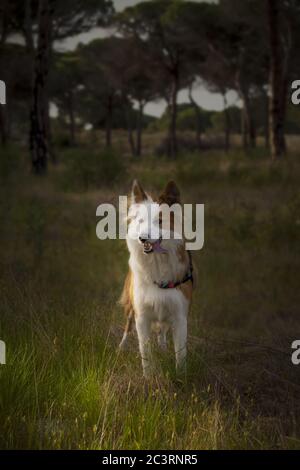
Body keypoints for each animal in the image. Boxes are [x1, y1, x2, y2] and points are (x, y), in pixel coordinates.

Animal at [119, 180, 197, 378]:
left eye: (160, 221)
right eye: (140, 221)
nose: (143, 238)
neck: (156, 261)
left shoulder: (180, 315)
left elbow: (180, 353)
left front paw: (181, 377)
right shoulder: (141, 315)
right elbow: (145, 351)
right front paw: (148, 378)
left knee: (162, 330)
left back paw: (162, 346)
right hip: (131, 306)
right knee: (127, 325)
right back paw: (120, 348)